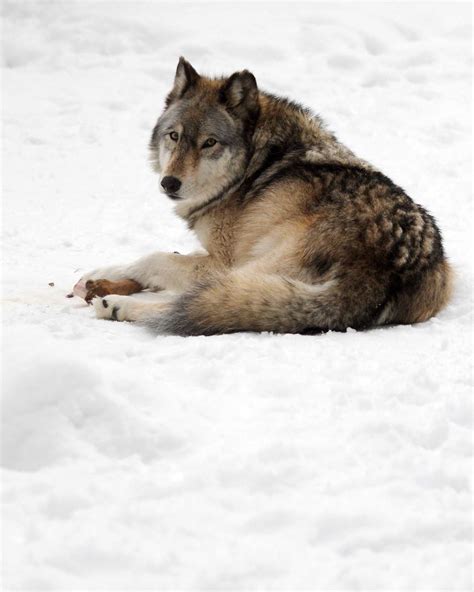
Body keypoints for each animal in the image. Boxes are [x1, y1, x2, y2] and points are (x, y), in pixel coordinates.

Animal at [74, 57, 452, 336]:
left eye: (209, 142)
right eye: (174, 136)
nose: (170, 183)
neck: (253, 164)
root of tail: (387, 268)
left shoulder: (222, 260)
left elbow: (153, 258)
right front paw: (97, 274)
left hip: (250, 267)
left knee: (196, 304)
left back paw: (117, 306)